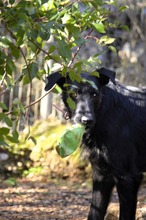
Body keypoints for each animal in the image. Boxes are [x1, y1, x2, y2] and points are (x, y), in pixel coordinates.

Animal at [44, 68, 146, 219]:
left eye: (94, 94)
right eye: (73, 94)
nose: (87, 120)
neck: (104, 112)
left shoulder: (128, 178)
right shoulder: (101, 175)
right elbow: (94, 212)